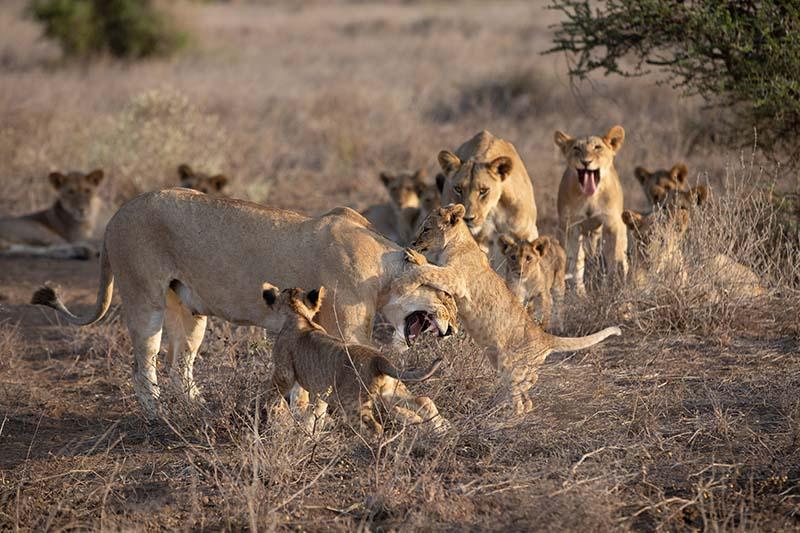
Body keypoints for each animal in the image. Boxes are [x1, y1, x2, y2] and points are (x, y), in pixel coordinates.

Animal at [30, 189, 458, 419]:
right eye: (448, 296)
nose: (453, 328)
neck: (382, 268)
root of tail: (116, 215)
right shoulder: (352, 341)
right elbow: (398, 387)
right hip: (143, 299)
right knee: (143, 367)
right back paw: (159, 415)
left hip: (189, 311)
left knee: (180, 366)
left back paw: (199, 409)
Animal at [265, 284, 449, 436]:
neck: (298, 314)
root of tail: (377, 358)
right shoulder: (321, 391)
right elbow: (315, 411)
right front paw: (309, 433)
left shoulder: (284, 373)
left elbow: (274, 395)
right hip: (390, 391)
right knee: (423, 400)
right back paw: (440, 427)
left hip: (353, 402)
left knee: (375, 427)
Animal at [391, 204, 621, 415]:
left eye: (426, 229)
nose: (413, 243)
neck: (457, 243)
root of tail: (544, 337)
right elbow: (429, 266)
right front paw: (414, 257)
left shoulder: (456, 279)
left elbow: (427, 271)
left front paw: (402, 282)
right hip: (500, 361)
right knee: (526, 393)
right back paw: (502, 405)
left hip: (511, 363)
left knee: (520, 391)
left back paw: (507, 412)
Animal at [437, 130, 538, 261]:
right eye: (458, 189)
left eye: (483, 190)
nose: (467, 218)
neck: (494, 209)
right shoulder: (479, 240)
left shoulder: (528, 233)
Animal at [555, 125, 628, 296]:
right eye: (576, 148)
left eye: (597, 147)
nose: (586, 162)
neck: (590, 198)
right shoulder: (570, 225)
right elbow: (574, 260)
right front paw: (577, 292)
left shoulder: (612, 223)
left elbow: (614, 255)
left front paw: (613, 286)